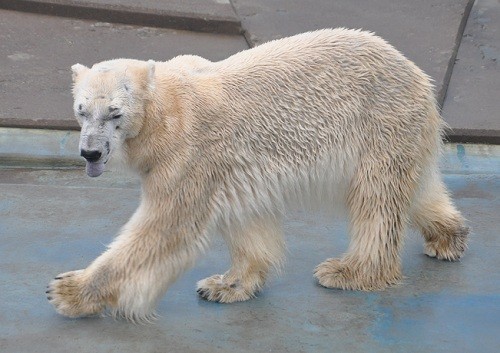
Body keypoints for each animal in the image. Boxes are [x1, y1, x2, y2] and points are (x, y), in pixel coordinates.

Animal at [47, 28, 468, 320]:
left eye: (114, 112)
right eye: (81, 110)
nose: (90, 152)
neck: (167, 111)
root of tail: (417, 74)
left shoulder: (189, 154)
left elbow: (165, 227)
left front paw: (68, 291)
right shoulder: (230, 168)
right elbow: (247, 219)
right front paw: (225, 284)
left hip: (378, 122)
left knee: (376, 199)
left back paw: (349, 271)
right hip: (403, 132)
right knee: (414, 188)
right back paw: (447, 237)